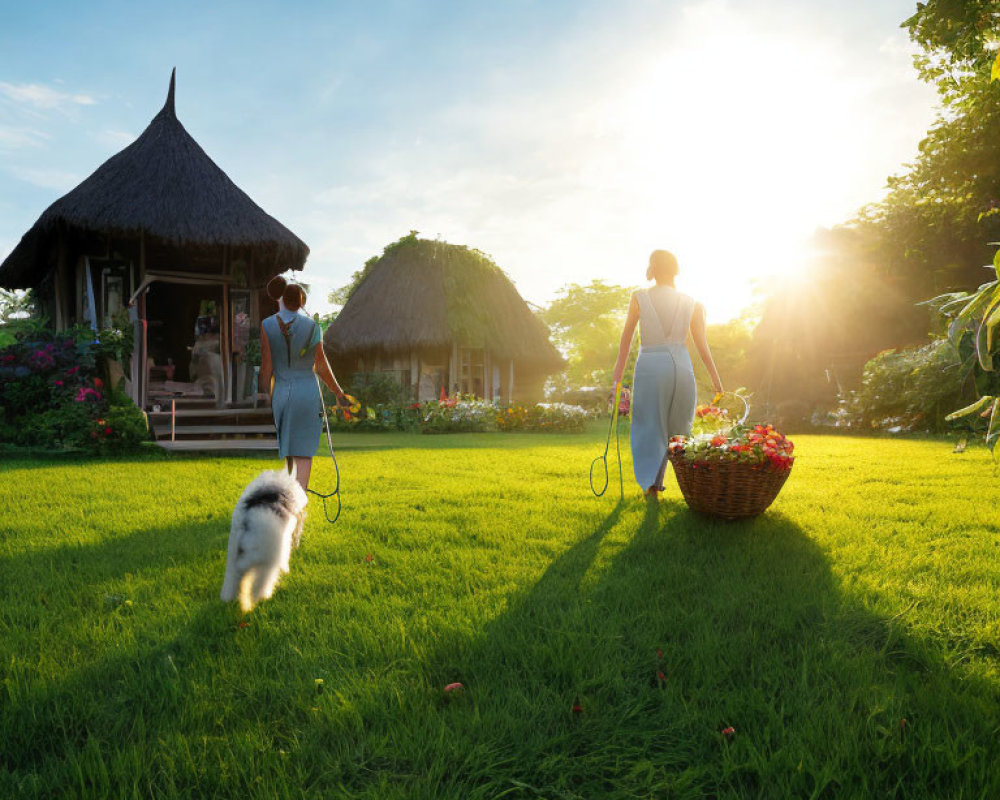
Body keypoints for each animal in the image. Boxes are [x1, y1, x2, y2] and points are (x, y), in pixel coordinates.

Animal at [221, 468, 306, 612]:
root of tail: (245, 524)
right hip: (267, 563)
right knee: (260, 583)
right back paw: (260, 598)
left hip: (233, 556)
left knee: (233, 579)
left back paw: (229, 598)